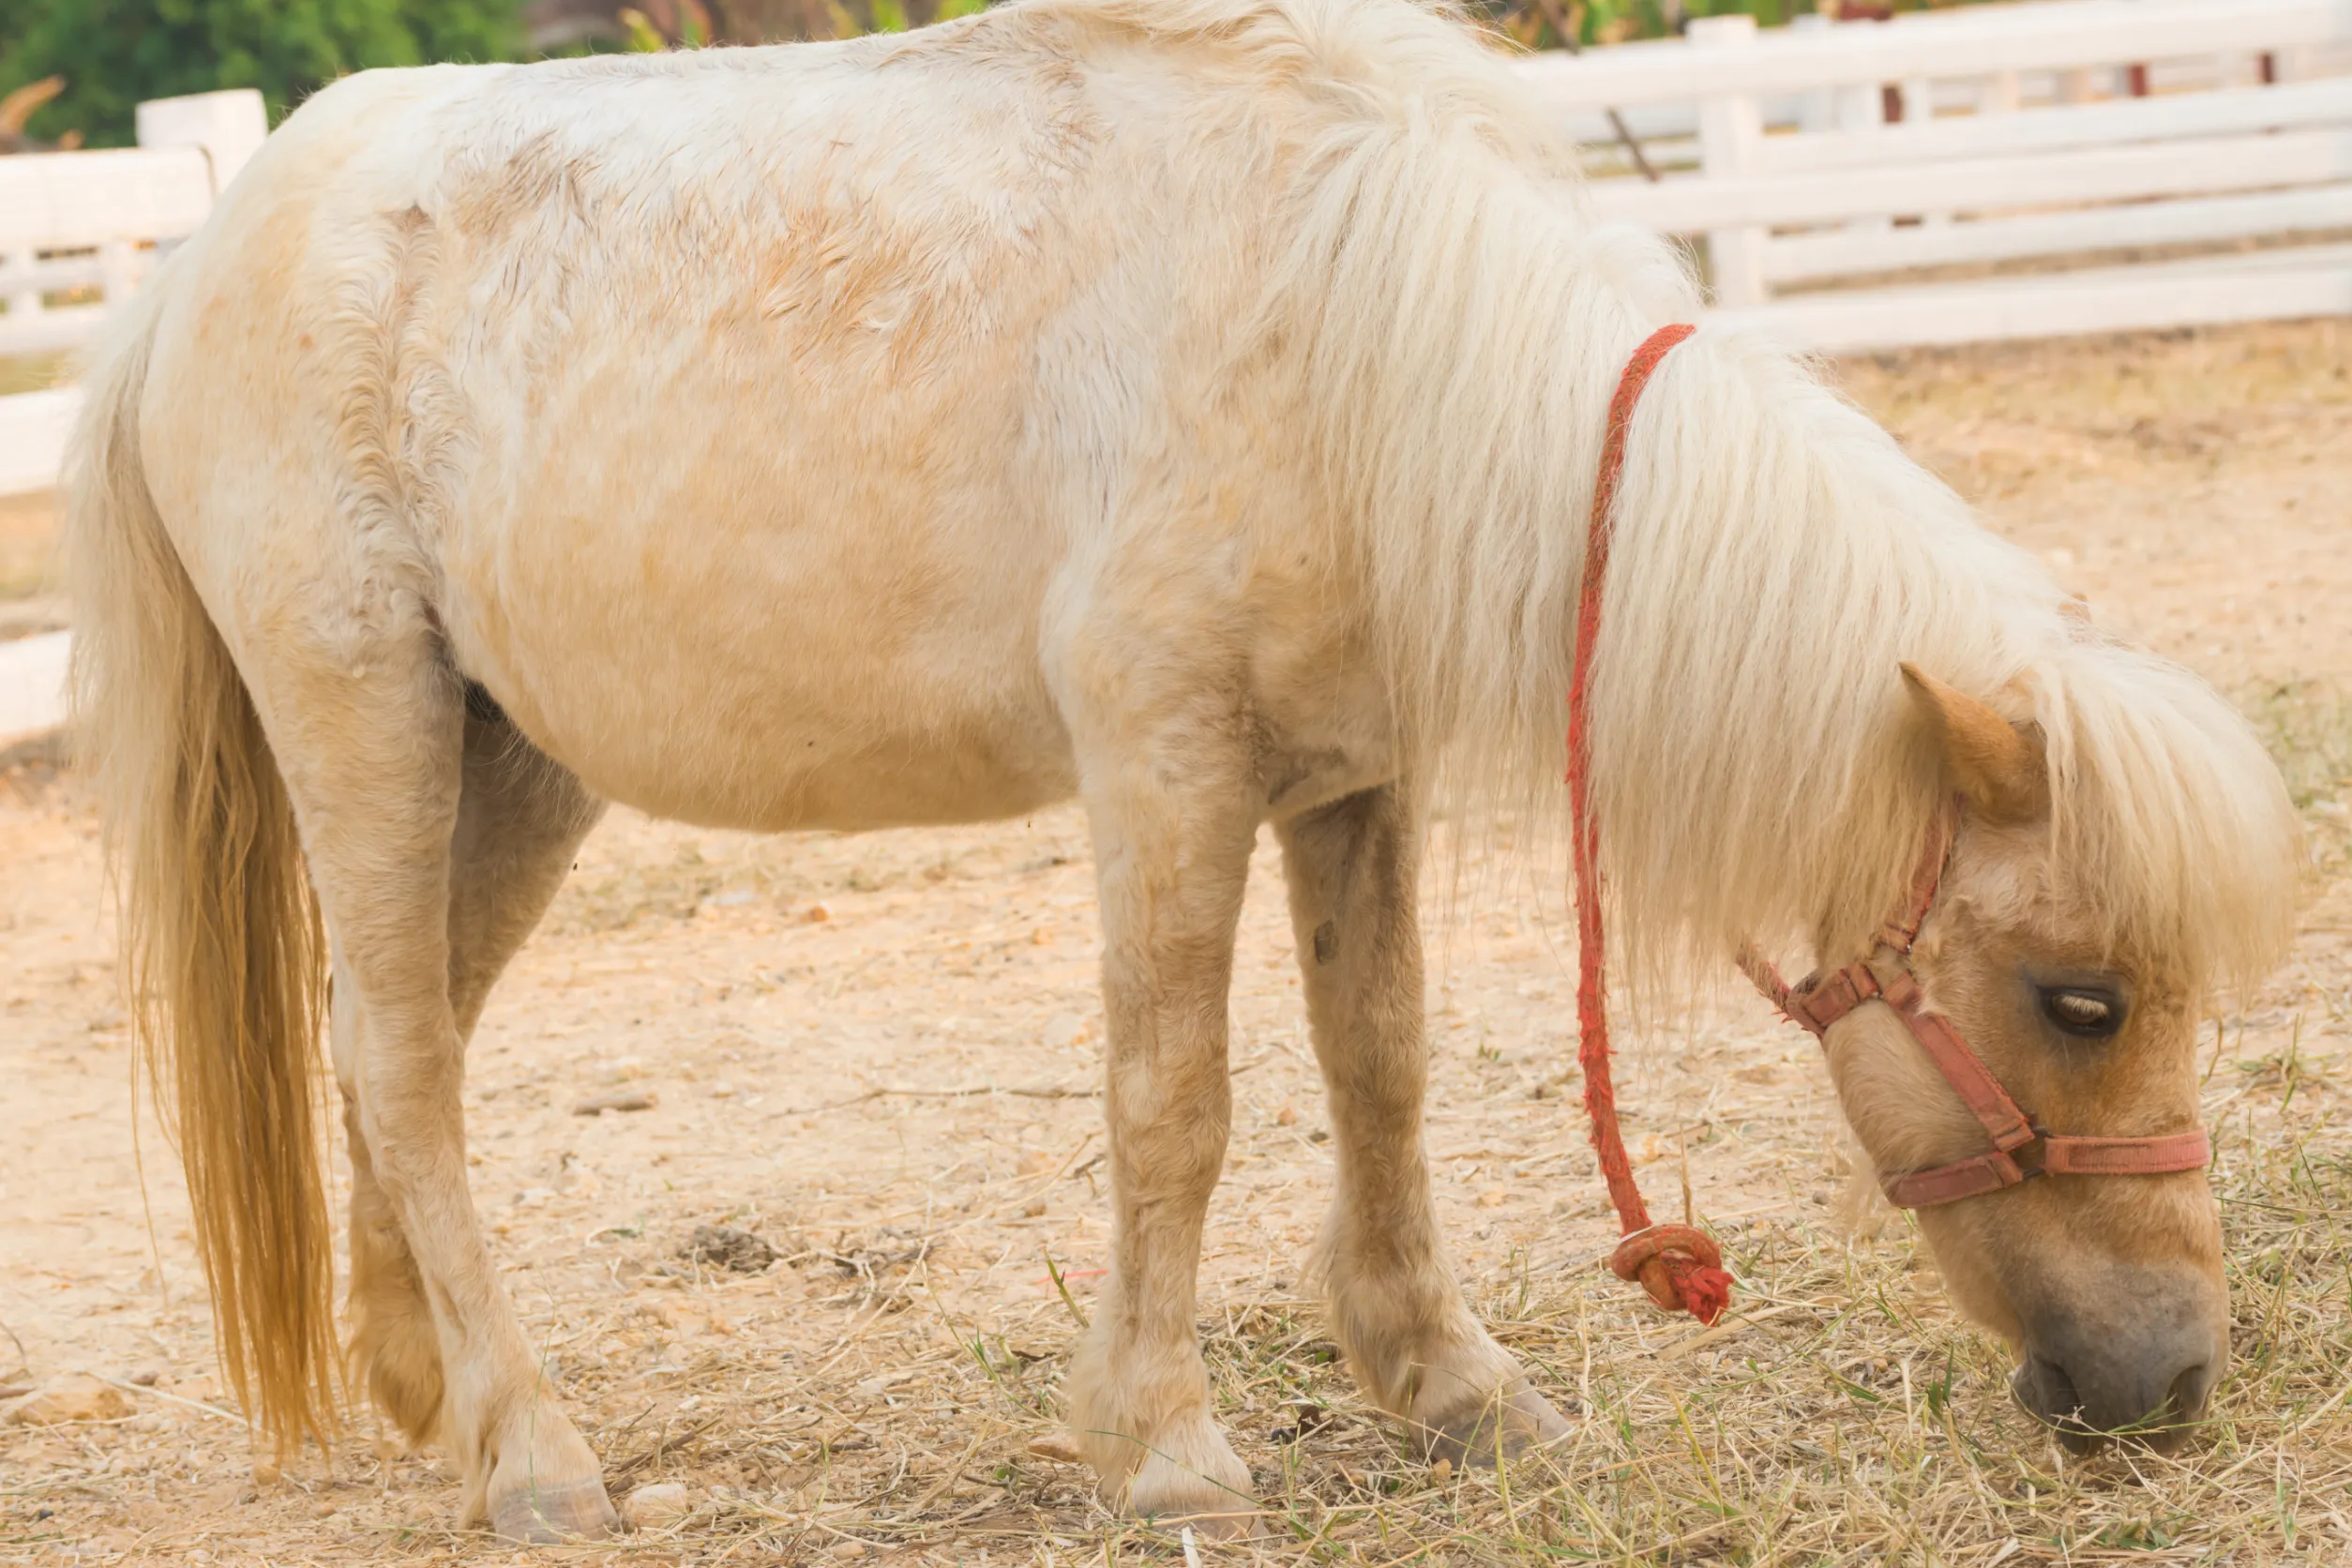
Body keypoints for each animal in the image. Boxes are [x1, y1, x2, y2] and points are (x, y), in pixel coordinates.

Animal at [68, 0, 2295, 1542]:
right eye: (2077, 998)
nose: (2174, 1373)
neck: (1357, 329)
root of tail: (198, 258)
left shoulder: (1348, 780)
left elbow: (1378, 1060)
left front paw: (1445, 1379)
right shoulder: (1166, 774)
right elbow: (1176, 1107)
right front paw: (1168, 1448)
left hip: (513, 766)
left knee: (395, 1035)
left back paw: (424, 1391)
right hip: (365, 719)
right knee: (408, 1068)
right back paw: (531, 1455)